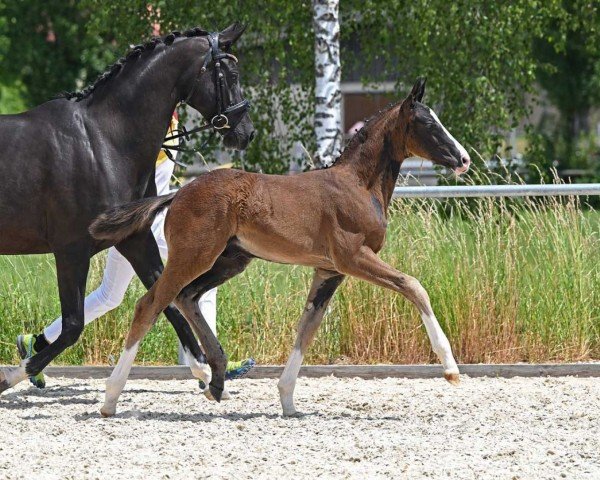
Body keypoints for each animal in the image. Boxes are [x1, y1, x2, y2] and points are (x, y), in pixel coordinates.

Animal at [0, 22, 253, 400]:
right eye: (232, 74)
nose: (246, 133)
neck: (104, 141)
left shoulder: (135, 239)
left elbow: (168, 300)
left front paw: (205, 372)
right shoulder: (71, 250)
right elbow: (73, 326)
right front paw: (12, 375)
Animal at [92, 79, 468, 416]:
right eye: (427, 123)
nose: (463, 159)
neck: (358, 185)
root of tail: (178, 192)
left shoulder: (329, 271)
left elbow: (307, 328)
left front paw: (287, 400)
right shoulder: (352, 257)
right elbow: (413, 286)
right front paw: (450, 368)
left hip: (230, 260)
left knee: (187, 297)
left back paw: (216, 381)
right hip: (193, 256)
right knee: (151, 304)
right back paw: (111, 398)